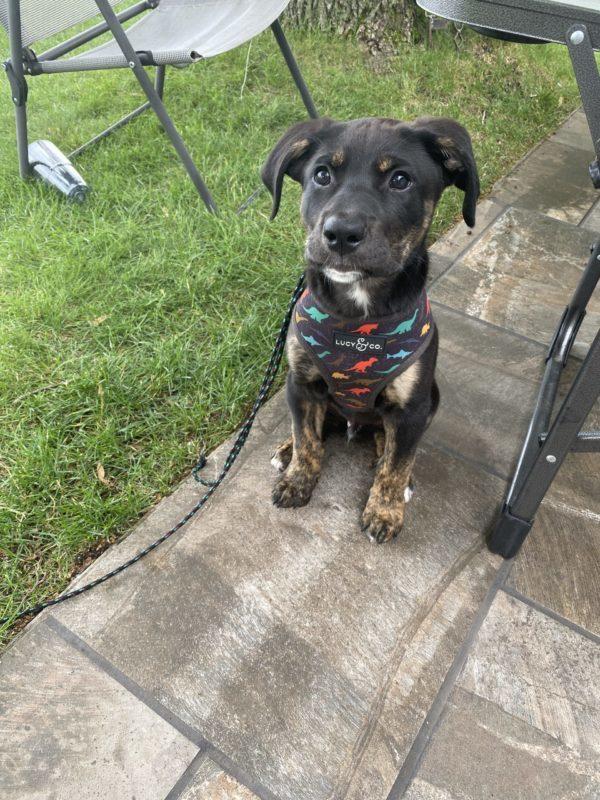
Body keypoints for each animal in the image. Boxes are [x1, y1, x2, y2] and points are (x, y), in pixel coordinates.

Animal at [260, 117, 480, 544]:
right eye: (322, 175)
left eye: (400, 180)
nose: (341, 234)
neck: (358, 316)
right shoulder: (301, 382)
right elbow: (307, 438)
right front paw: (297, 480)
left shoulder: (412, 408)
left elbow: (397, 466)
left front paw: (384, 512)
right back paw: (286, 450)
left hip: (432, 397)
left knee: (390, 445)